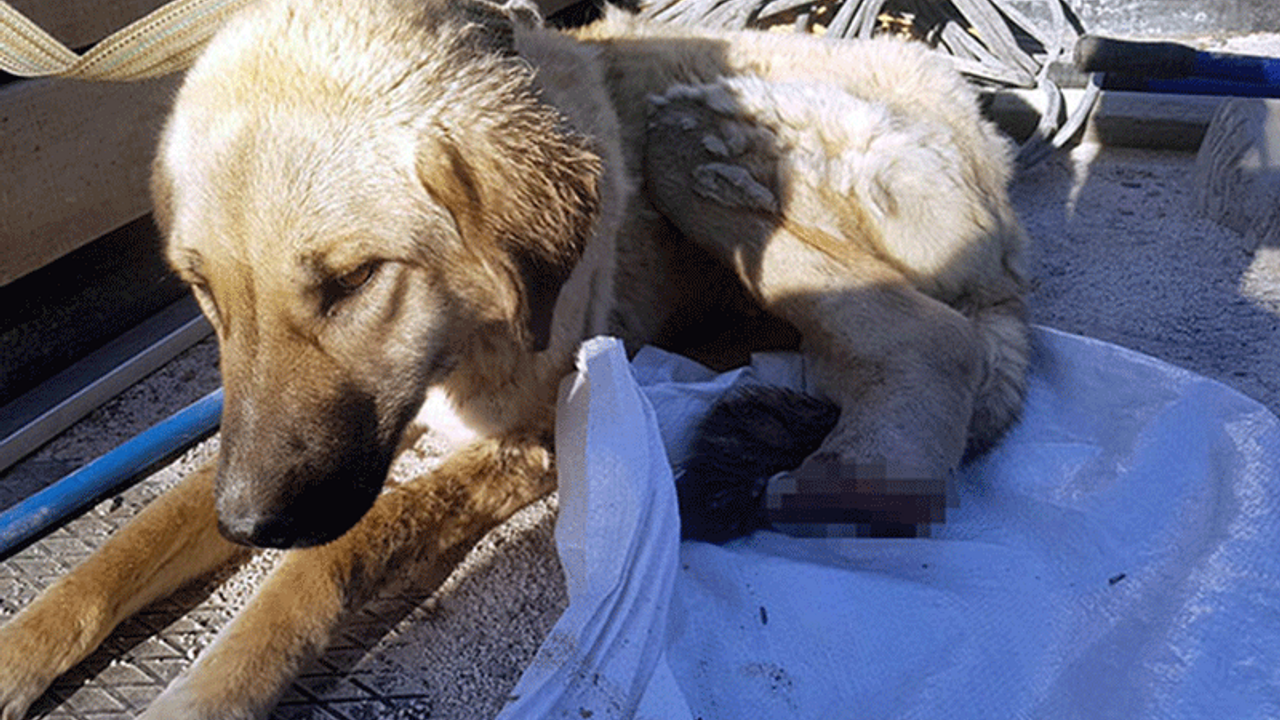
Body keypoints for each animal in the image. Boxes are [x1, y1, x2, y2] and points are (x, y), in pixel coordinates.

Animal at [0, 0, 1024, 712]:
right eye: (204, 290)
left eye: (353, 279)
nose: (249, 523)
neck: (465, 322)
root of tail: (986, 138)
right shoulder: (294, 452)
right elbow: (126, 547)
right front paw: (19, 651)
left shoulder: (524, 442)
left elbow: (337, 554)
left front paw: (213, 689)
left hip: (688, 142)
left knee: (935, 337)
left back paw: (860, 473)